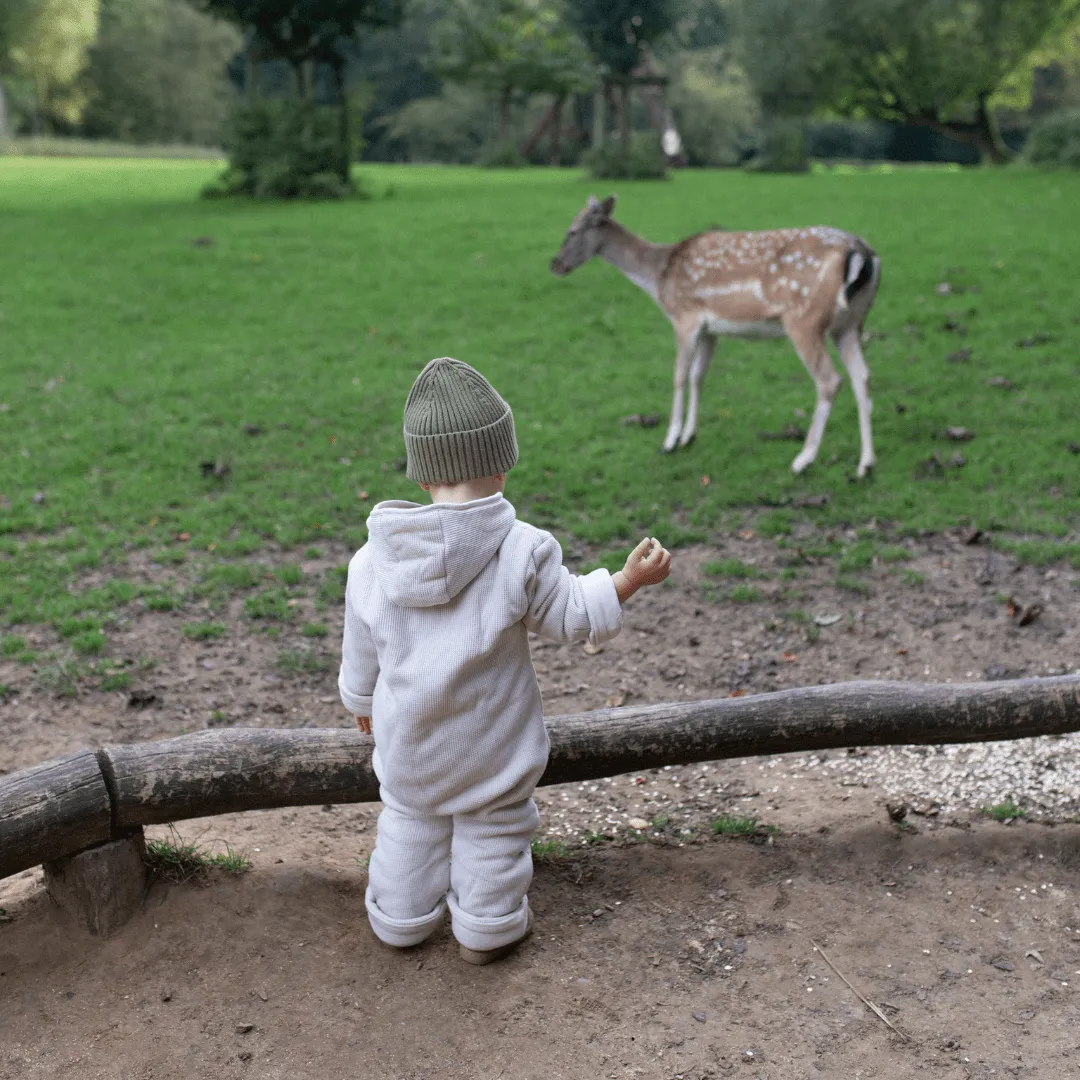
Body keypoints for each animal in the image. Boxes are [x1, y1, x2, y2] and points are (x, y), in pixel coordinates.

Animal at [552, 195, 881, 481]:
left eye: (573, 230)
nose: (554, 264)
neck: (659, 279)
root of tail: (863, 253)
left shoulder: (684, 318)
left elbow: (679, 376)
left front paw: (670, 440)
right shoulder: (711, 330)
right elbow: (698, 376)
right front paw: (689, 436)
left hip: (804, 319)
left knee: (830, 380)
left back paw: (803, 460)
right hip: (851, 324)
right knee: (862, 376)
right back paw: (865, 465)